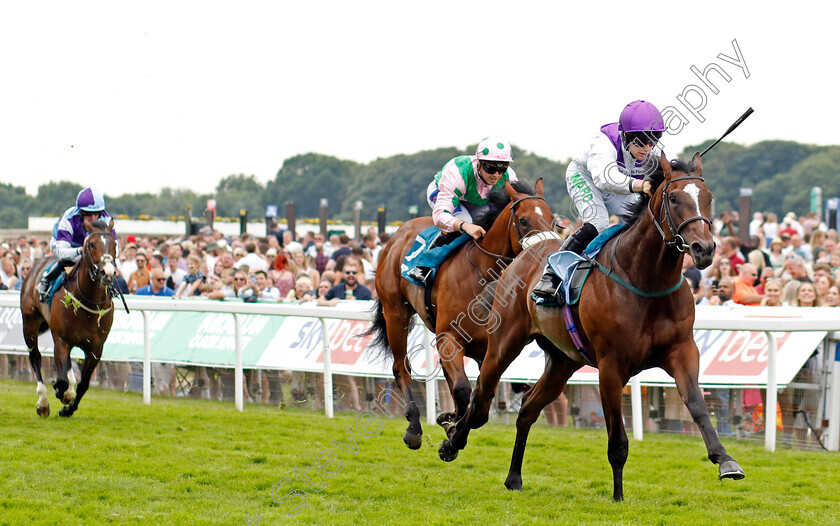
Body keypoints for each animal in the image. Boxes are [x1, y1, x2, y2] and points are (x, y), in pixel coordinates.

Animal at [20, 219, 118, 416]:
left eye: (115, 245)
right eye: (91, 244)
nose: (108, 273)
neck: (88, 300)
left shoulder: (96, 348)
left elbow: (83, 384)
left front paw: (68, 408)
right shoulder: (62, 340)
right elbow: (62, 379)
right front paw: (60, 391)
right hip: (29, 323)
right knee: (35, 357)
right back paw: (43, 402)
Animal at [366, 180, 556, 450]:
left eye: (553, 220)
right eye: (523, 220)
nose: (547, 254)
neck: (484, 276)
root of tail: (399, 233)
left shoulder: (488, 349)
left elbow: (480, 401)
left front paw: (451, 422)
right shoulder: (449, 336)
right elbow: (465, 390)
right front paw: (451, 429)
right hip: (395, 311)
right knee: (401, 368)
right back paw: (413, 427)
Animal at [442, 154, 744, 504]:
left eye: (708, 198)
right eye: (673, 198)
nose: (703, 248)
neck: (645, 280)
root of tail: (522, 256)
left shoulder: (682, 352)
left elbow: (697, 405)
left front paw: (726, 461)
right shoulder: (611, 367)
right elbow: (618, 442)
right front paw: (618, 497)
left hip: (563, 360)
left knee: (527, 409)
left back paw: (514, 478)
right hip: (504, 343)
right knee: (480, 399)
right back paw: (451, 441)